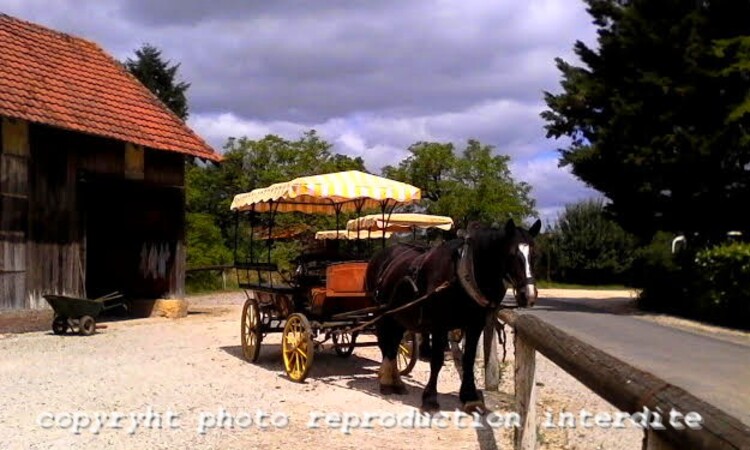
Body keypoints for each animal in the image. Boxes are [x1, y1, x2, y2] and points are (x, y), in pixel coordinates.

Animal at [364, 217, 540, 412]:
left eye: (535, 255)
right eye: (511, 254)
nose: (528, 295)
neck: (462, 273)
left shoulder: (475, 325)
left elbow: (468, 359)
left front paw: (470, 397)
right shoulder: (439, 325)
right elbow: (437, 359)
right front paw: (430, 397)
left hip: (398, 316)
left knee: (394, 343)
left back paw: (395, 381)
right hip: (383, 313)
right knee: (387, 344)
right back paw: (387, 382)